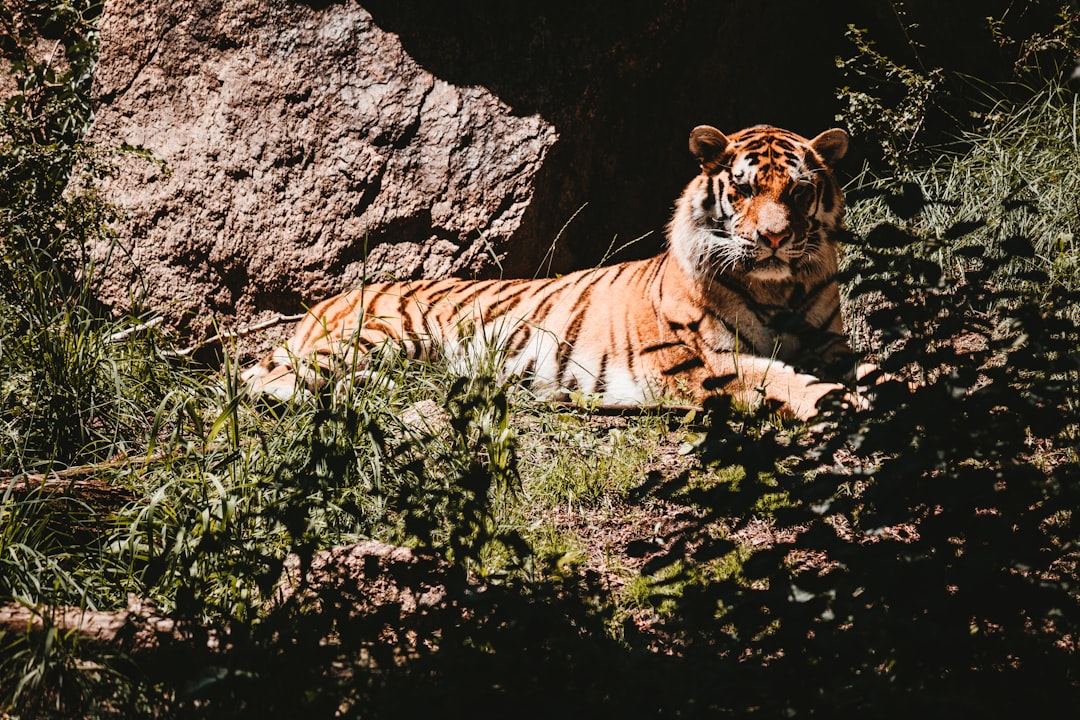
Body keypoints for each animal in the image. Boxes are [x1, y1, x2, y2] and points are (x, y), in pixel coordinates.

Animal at [240, 120, 864, 418]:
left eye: (799, 191)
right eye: (745, 189)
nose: (775, 238)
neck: (780, 289)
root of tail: (324, 301)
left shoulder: (830, 342)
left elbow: (861, 366)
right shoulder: (706, 360)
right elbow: (782, 379)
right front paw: (840, 405)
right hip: (379, 335)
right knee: (261, 384)